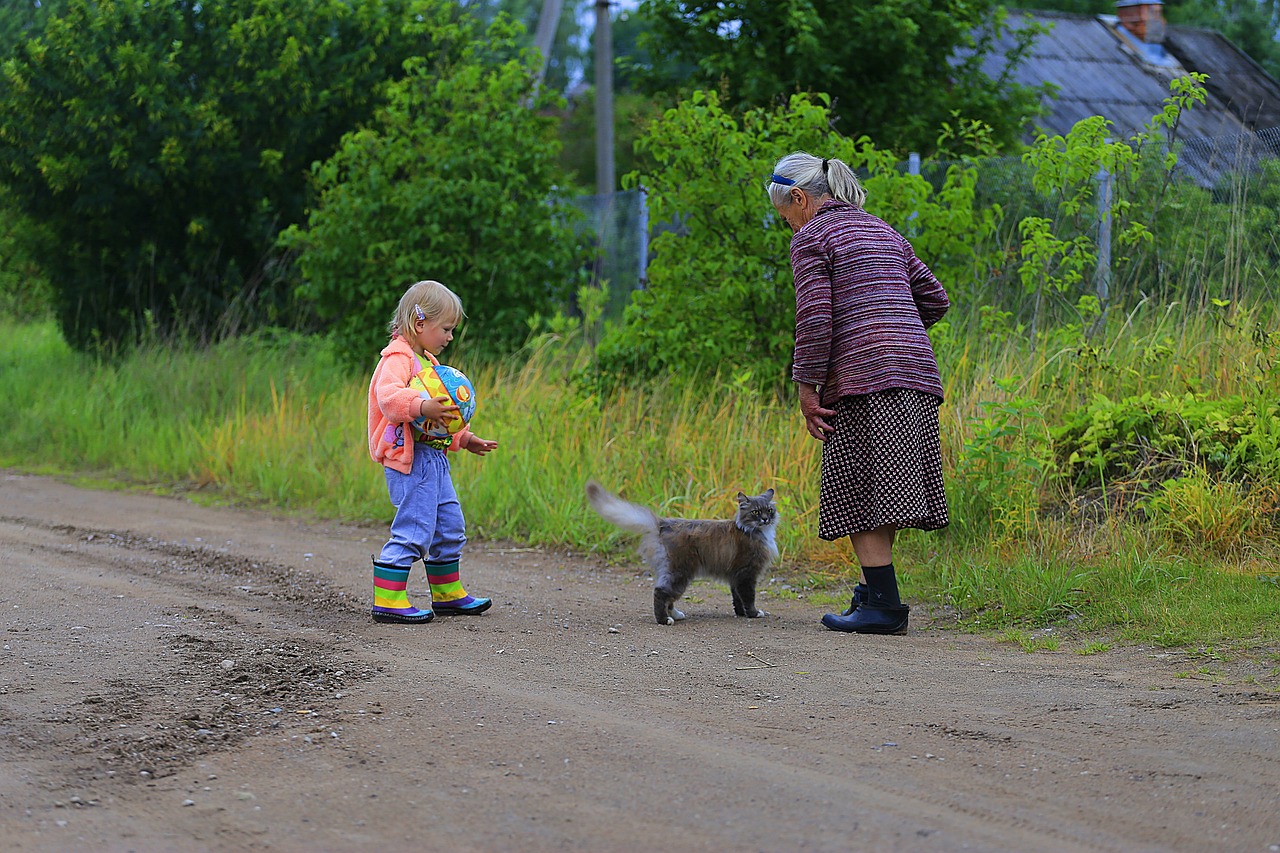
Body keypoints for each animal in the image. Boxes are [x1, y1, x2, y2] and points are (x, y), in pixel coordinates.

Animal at [583, 479, 778, 625]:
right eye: (755, 512)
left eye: (769, 510)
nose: (765, 519)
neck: (752, 531)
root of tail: (663, 523)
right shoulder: (747, 573)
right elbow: (748, 597)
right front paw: (753, 613)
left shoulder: (736, 576)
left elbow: (737, 598)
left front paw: (741, 613)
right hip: (680, 572)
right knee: (660, 592)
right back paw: (664, 620)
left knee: (668, 598)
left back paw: (675, 615)